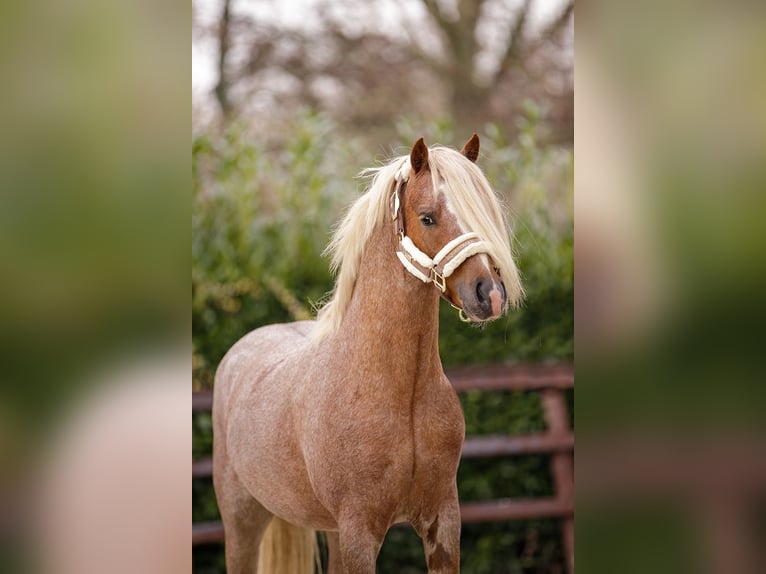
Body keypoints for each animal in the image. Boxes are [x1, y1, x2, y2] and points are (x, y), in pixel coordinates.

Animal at [213, 133, 524, 572]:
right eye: (427, 217)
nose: (490, 295)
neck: (400, 392)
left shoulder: (442, 523)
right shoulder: (359, 533)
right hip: (243, 521)